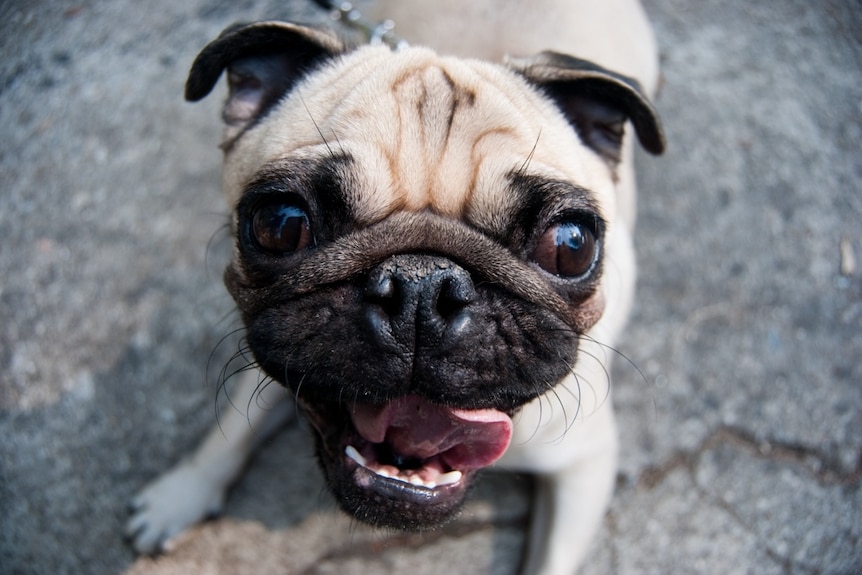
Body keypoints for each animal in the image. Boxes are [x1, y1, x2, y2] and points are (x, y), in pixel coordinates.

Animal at [126, 2, 668, 572]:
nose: (421, 287)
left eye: (570, 245)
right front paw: (179, 495)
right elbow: (230, 430)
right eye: (281, 223)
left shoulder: (585, 464)